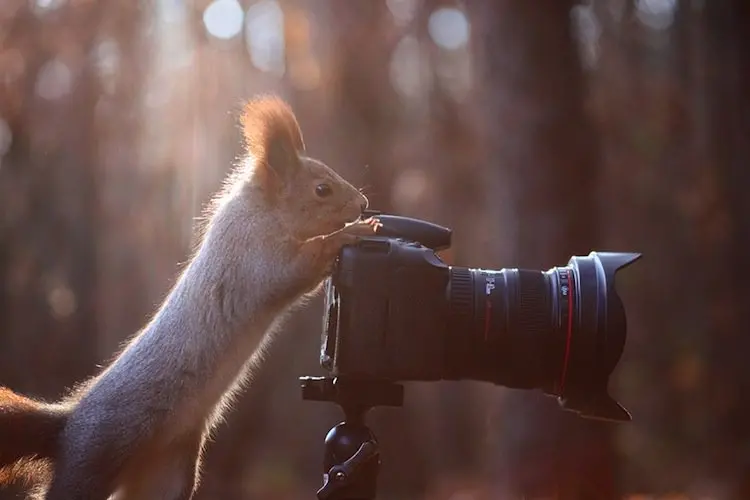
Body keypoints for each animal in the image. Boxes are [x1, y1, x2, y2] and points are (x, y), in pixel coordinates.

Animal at [0, 94, 378, 500]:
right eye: (322, 189)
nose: (362, 203)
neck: (261, 211)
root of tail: (68, 427)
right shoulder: (254, 258)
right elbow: (299, 265)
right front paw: (351, 233)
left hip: (167, 474)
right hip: (95, 459)